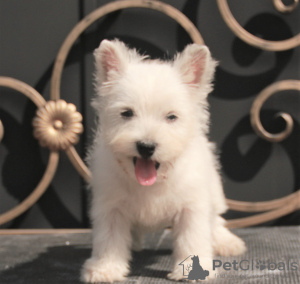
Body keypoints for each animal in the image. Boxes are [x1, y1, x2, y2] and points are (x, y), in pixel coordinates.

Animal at [81, 38, 245, 282]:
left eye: (171, 117)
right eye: (127, 113)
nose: (146, 146)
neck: (152, 182)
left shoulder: (191, 207)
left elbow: (192, 237)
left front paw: (191, 270)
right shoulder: (111, 207)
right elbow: (109, 240)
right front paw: (105, 269)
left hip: (214, 191)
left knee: (215, 219)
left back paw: (227, 242)